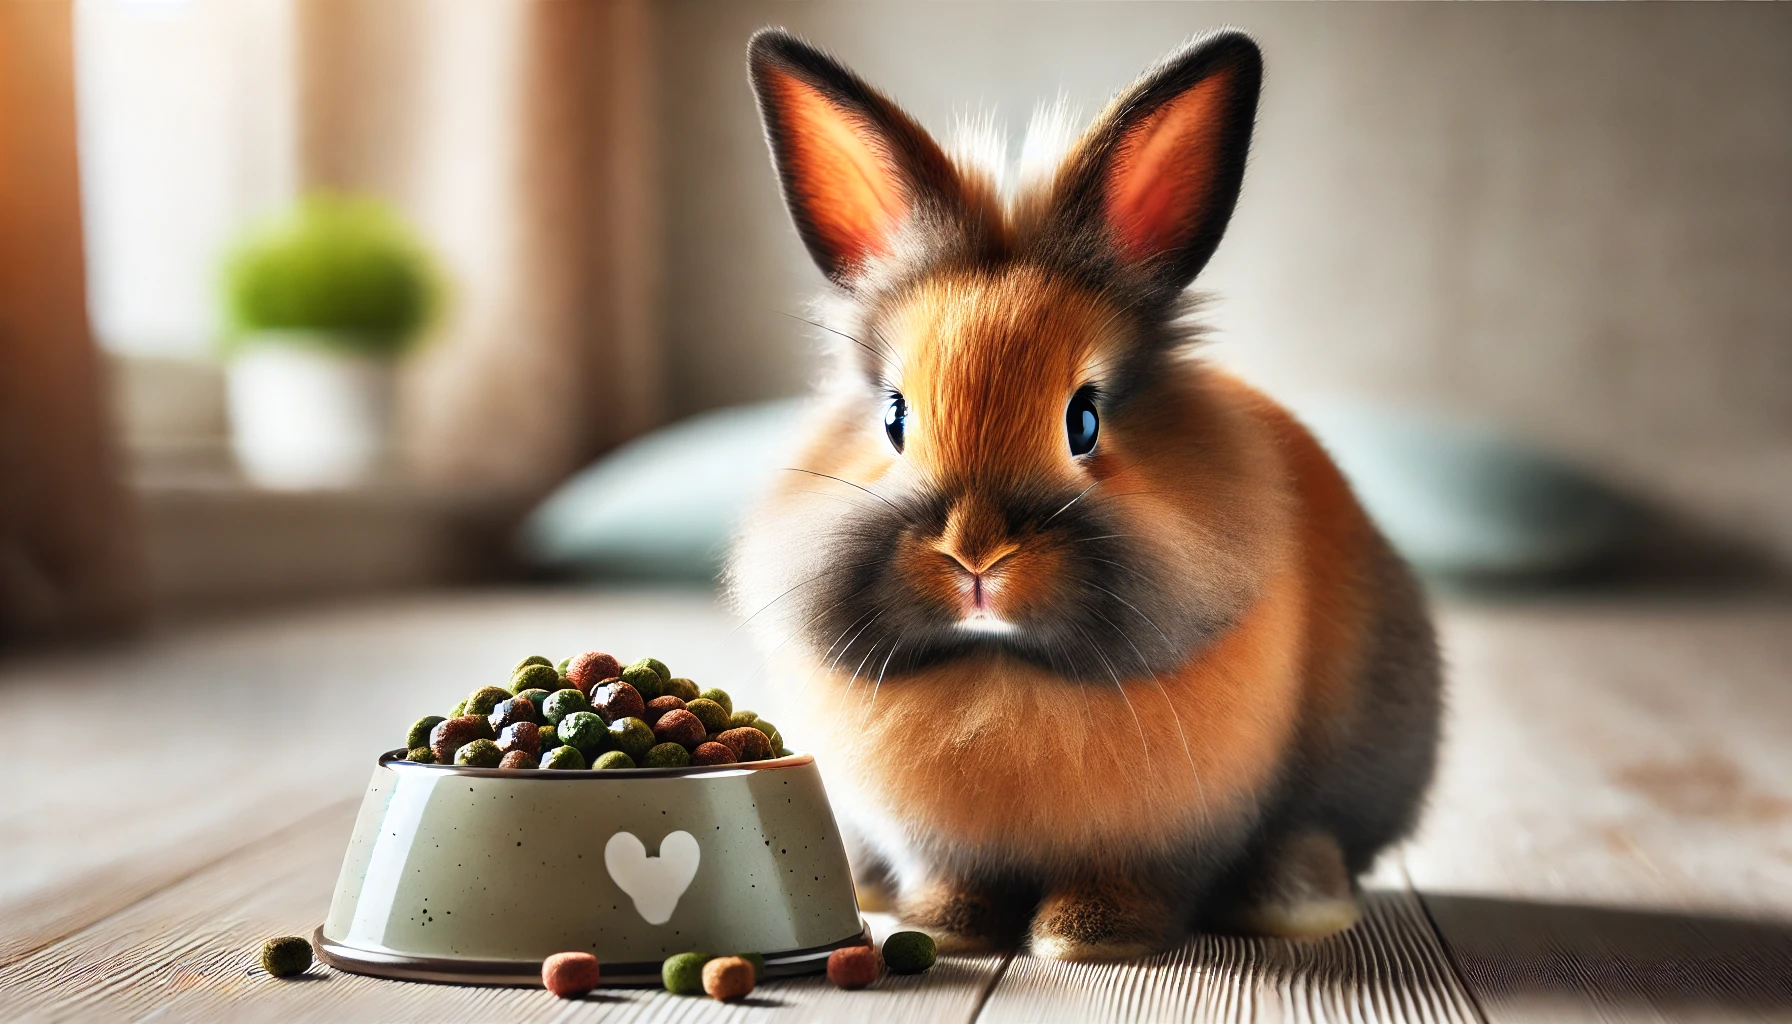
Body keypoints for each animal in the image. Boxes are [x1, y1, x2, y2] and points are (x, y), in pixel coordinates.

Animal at [726, 27, 1442, 962]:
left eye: (1085, 420)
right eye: (893, 417)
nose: (976, 554)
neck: (1002, 671)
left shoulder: (1163, 837)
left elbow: (1129, 882)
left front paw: (1085, 940)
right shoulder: (934, 839)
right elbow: (953, 878)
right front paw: (948, 929)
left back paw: (1296, 903)